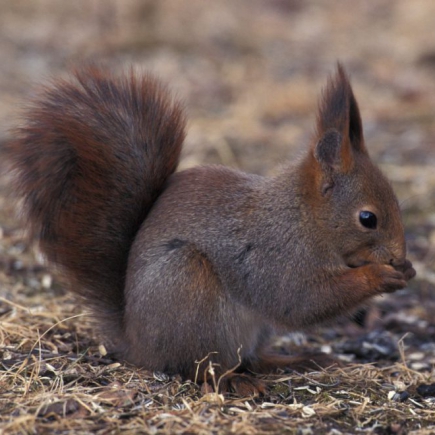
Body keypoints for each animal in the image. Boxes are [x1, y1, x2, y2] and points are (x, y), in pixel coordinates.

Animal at [6, 64, 416, 396]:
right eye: (368, 218)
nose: (399, 256)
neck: (305, 218)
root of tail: (137, 342)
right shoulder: (276, 256)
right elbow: (300, 300)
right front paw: (380, 275)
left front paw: (405, 269)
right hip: (192, 294)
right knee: (197, 368)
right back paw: (233, 381)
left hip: (252, 329)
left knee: (251, 358)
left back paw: (293, 361)